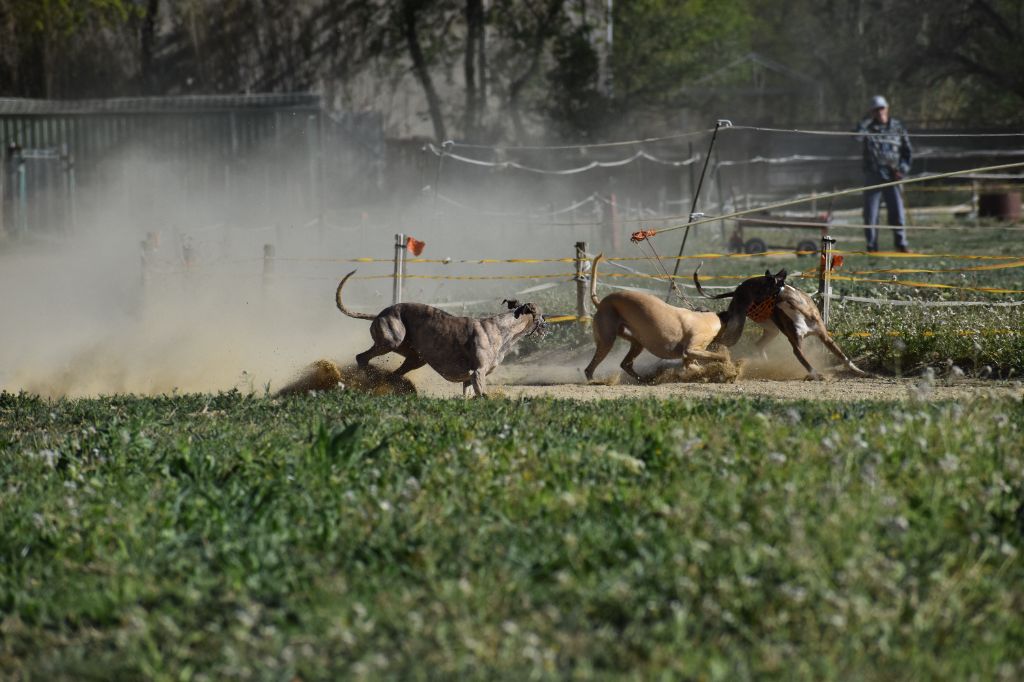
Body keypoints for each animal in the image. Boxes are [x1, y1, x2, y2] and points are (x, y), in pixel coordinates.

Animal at [335, 270, 544, 395]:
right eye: (541, 314)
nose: (546, 327)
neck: (501, 328)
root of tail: (380, 313)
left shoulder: (469, 378)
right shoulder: (477, 373)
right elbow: (484, 396)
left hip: (415, 357)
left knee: (394, 374)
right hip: (392, 340)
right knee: (362, 357)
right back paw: (365, 377)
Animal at [585, 253, 729, 382]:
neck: (707, 318)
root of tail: (601, 303)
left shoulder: (689, 357)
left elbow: (695, 366)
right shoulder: (690, 350)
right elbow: (719, 358)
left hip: (637, 341)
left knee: (625, 363)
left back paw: (644, 379)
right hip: (607, 340)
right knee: (589, 369)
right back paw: (594, 381)